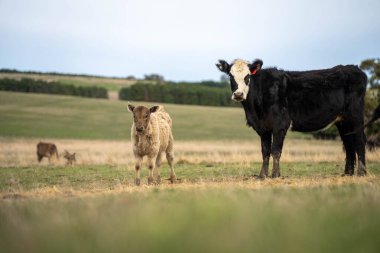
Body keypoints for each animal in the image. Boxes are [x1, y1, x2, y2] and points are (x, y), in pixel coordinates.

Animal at [215, 59, 378, 178]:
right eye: (230, 76)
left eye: (248, 76)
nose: (238, 94)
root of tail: (354, 69)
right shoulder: (263, 128)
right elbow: (265, 151)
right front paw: (262, 175)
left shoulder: (280, 124)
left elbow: (275, 150)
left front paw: (275, 175)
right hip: (342, 120)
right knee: (348, 143)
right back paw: (347, 173)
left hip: (355, 116)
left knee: (359, 140)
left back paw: (361, 173)